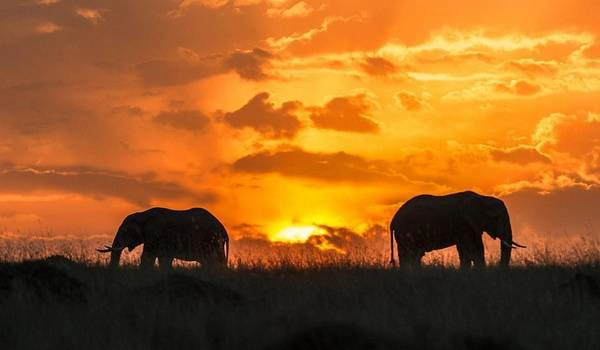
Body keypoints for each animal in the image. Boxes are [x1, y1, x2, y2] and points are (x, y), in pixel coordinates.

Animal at [97, 208, 229, 268]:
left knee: (215, 260)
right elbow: (162, 258)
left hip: (212, 242)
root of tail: (224, 231)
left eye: (125, 231)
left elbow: (148, 256)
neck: (142, 215)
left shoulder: (155, 234)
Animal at [390, 191, 524, 268]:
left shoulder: (471, 226)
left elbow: (473, 249)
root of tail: (393, 220)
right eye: (496, 217)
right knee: (409, 254)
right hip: (405, 232)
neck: (481, 198)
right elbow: (471, 249)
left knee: (414, 255)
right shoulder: (463, 224)